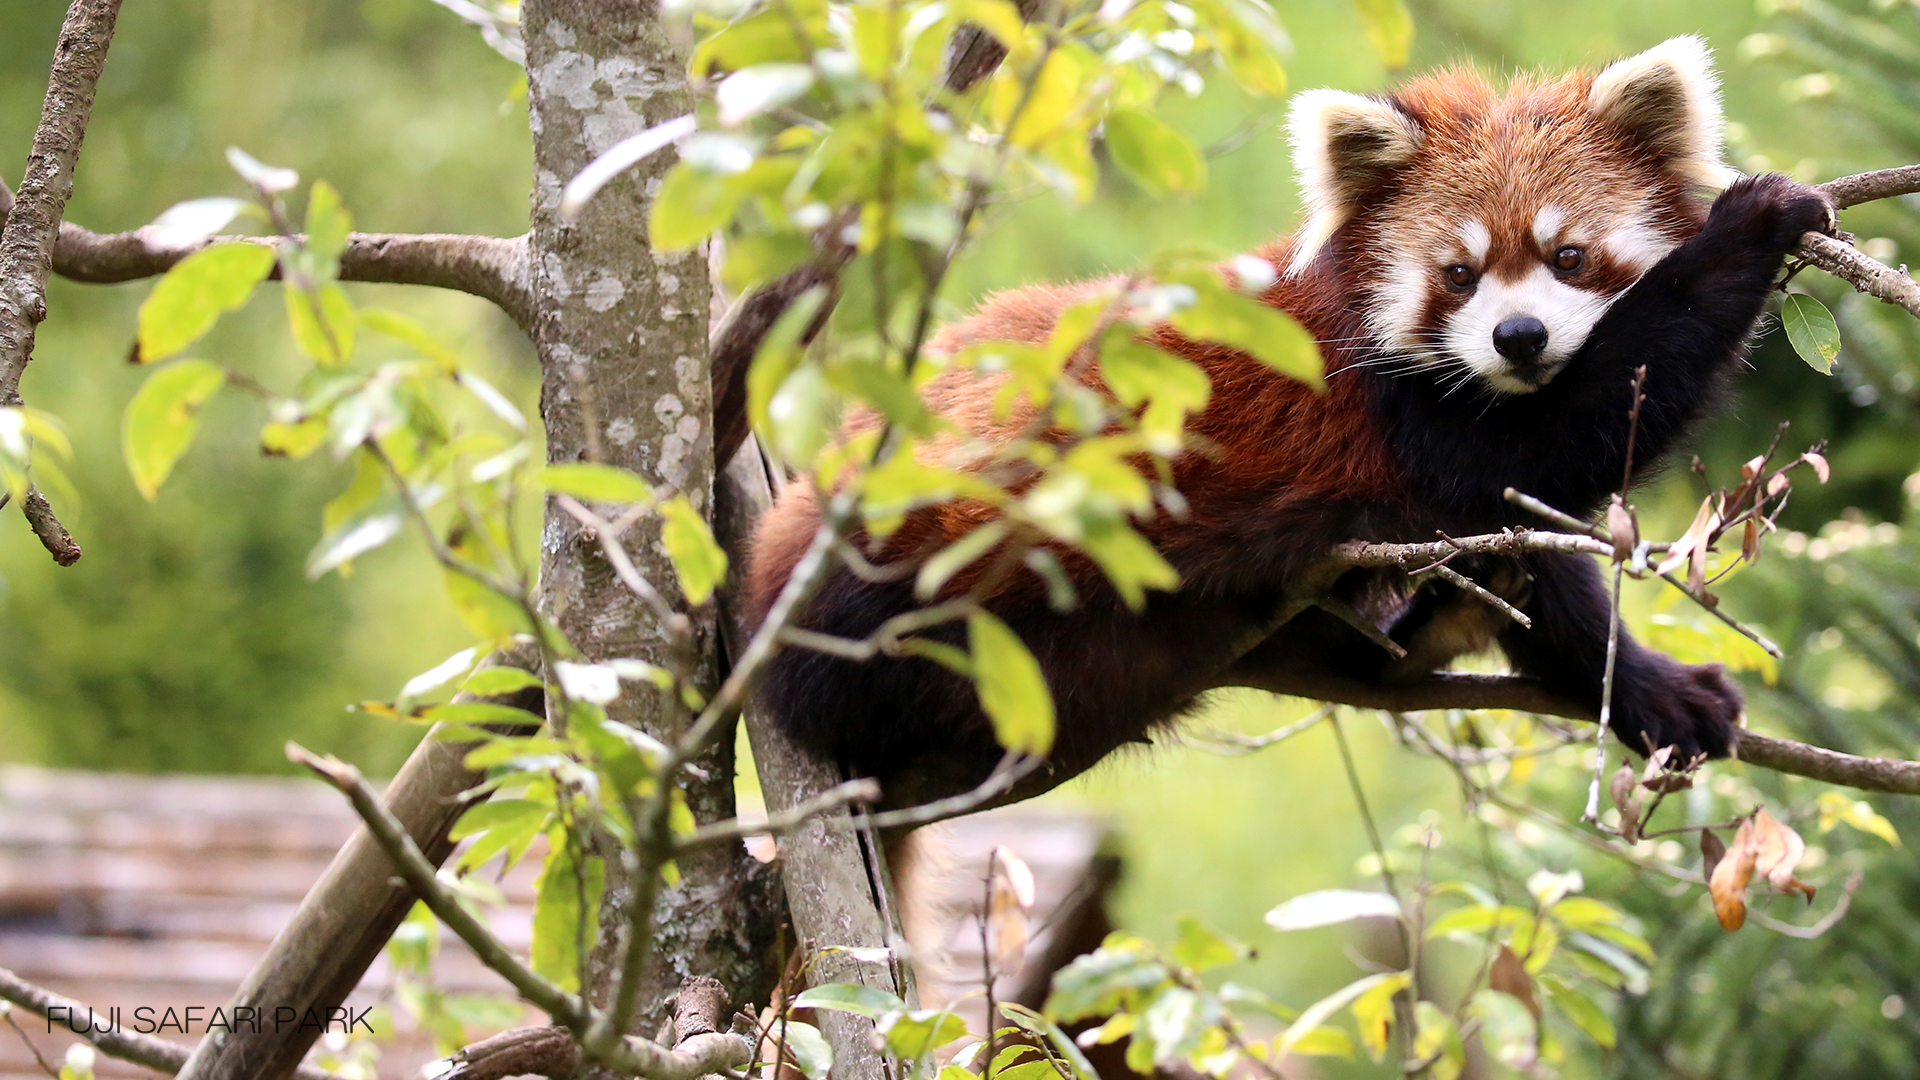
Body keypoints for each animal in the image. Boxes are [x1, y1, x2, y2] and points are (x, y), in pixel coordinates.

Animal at [741, 35, 1835, 791]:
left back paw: (1429, 630)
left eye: (1569, 257)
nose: (1519, 337)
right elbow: (1561, 437)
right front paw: (1751, 226)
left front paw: (1650, 691)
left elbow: (1535, 551)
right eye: (1458, 274)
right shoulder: (1393, 414)